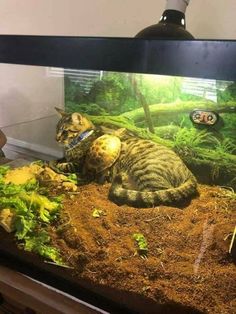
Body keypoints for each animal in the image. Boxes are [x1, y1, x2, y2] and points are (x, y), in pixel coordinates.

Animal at [54, 108, 197, 209]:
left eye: (65, 131)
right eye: (56, 129)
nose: (56, 138)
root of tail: (190, 173)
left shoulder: (79, 165)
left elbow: (61, 164)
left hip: (144, 170)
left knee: (155, 197)